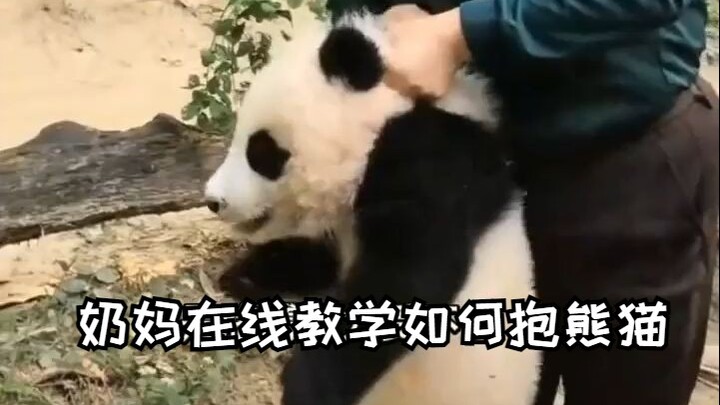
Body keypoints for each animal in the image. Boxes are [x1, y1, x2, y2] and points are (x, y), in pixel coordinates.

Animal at [204, 11, 543, 405]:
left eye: (261, 152)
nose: (213, 200)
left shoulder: (432, 160)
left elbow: (408, 273)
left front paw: (304, 384)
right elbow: (320, 260)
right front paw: (245, 275)